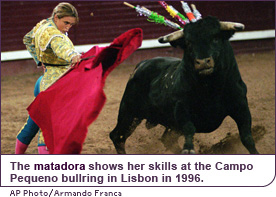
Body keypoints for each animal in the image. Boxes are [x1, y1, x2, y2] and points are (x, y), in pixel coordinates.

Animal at [109, 16, 258, 154]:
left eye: (215, 38)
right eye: (188, 42)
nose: (203, 62)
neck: (211, 87)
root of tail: (140, 65)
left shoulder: (241, 106)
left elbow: (247, 137)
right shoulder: (181, 108)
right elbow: (189, 128)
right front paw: (188, 149)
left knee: (165, 139)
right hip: (129, 112)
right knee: (117, 136)